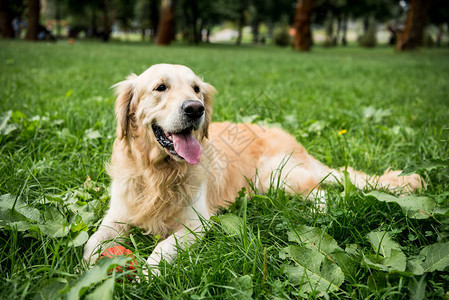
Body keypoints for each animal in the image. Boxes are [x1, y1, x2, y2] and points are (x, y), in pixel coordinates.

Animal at [84, 64, 424, 276]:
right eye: (160, 87)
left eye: (196, 88)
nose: (196, 108)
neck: (158, 173)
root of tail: (293, 139)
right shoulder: (117, 215)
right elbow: (91, 243)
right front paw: (86, 270)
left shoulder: (197, 224)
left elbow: (165, 245)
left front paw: (148, 273)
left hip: (276, 176)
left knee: (322, 192)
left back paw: (318, 213)